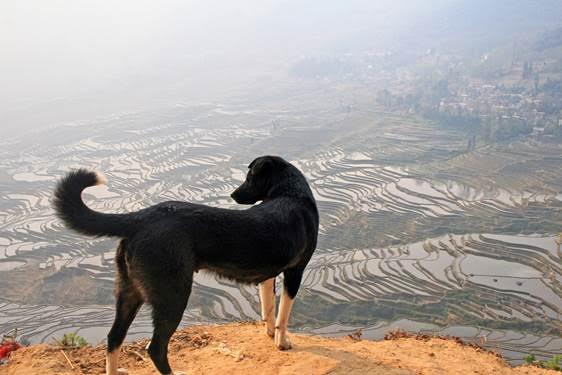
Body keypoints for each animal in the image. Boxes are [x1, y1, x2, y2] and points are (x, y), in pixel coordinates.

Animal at [54, 156, 318, 375]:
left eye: (250, 178)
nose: (233, 195)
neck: (290, 193)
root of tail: (142, 217)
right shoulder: (295, 272)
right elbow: (283, 315)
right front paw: (282, 342)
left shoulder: (268, 275)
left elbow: (269, 308)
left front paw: (270, 333)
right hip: (173, 295)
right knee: (155, 348)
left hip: (129, 291)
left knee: (114, 338)